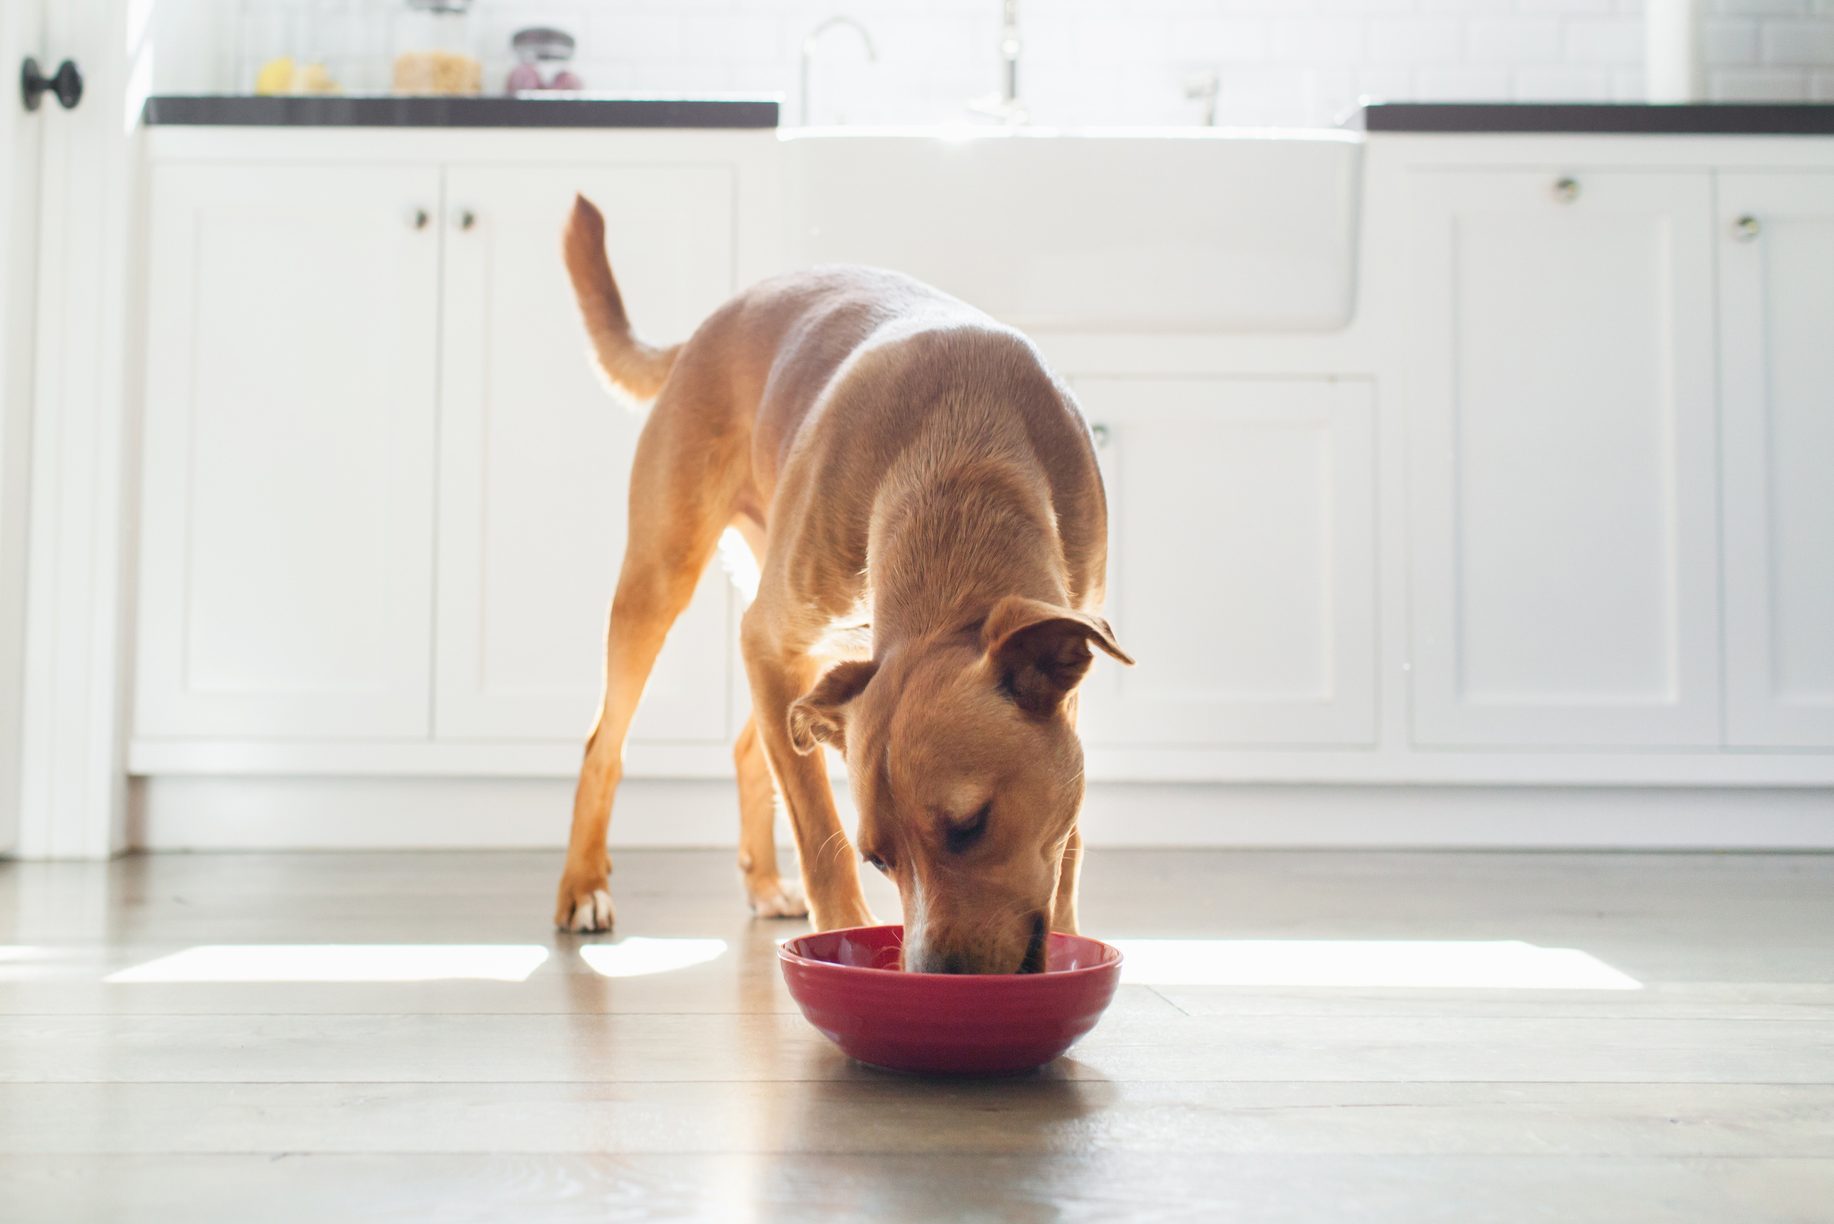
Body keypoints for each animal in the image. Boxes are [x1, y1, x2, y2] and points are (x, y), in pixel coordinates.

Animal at [553, 193, 1129, 976]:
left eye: (971, 825)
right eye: (880, 860)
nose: (933, 978)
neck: (962, 462)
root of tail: (703, 330)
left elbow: (1066, 841)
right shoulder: (769, 644)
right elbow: (817, 832)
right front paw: (840, 939)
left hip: (813, 658)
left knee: (750, 749)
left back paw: (764, 883)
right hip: (662, 580)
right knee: (604, 746)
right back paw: (583, 886)